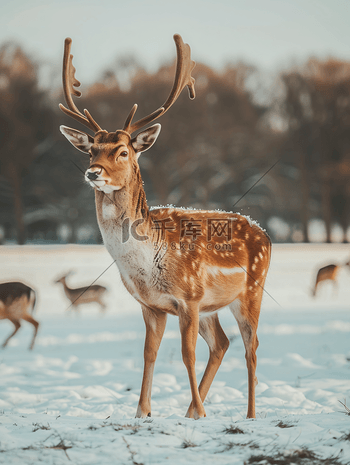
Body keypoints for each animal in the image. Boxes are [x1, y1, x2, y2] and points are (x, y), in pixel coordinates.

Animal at [58, 35, 272, 420]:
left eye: (123, 151)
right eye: (91, 149)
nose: (93, 173)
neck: (148, 262)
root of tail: (265, 234)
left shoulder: (188, 297)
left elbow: (186, 354)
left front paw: (199, 411)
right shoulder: (152, 306)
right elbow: (149, 353)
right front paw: (143, 411)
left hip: (250, 291)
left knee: (251, 345)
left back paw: (248, 414)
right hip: (212, 307)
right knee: (222, 343)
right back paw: (191, 410)